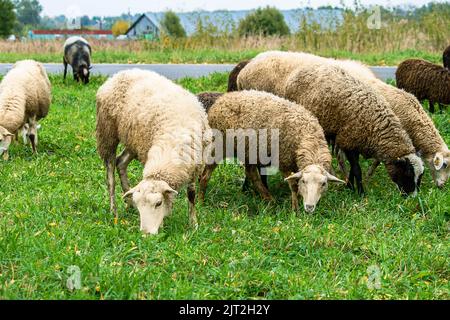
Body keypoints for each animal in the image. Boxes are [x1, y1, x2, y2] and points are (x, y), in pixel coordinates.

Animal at [198, 90, 344, 212]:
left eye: (323, 184)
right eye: (304, 181)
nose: (309, 207)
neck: (307, 137)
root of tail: (222, 99)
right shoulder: (284, 161)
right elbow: (293, 185)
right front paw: (295, 209)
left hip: (248, 150)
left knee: (251, 173)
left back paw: (268, 198)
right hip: (220, 144)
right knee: (206, 174)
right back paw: (201, 200)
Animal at [237, 51, 424, 195]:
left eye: (420, 177)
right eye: (408, 173)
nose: (411, 197)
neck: (375, 125)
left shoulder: (351, 141)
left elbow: (353, 168)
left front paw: (349, 186)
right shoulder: (349, 139)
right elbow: (357, 169)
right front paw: (360, 192)